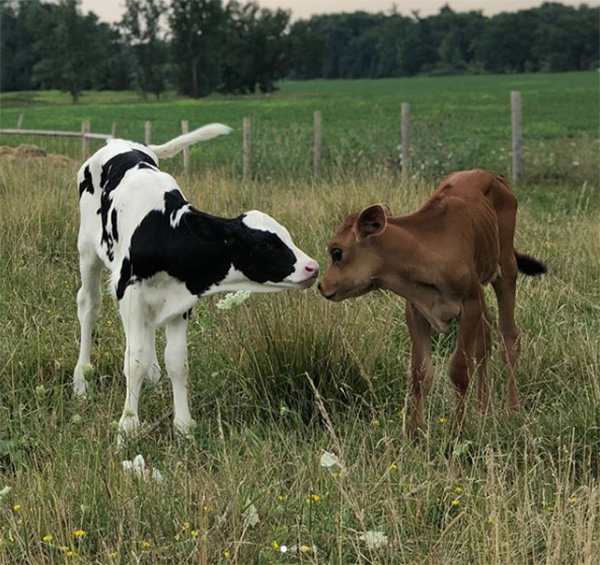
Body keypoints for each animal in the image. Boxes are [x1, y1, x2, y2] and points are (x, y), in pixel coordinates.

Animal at [74, 125, 318, 438]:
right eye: (264, 244)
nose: (312, 267)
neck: (167, 233)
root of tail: (120, 143)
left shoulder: (182, 300)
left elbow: (177, 362)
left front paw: (183, 427)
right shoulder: (130, 290)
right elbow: (134, 360)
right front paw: (127, 427)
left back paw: (153, 374)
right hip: (87, 249)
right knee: (89, 306)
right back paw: (82, 381)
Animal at [322, 169, 548, 432]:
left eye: (336, 251)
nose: (321, 285)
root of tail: (494, 176)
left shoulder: (469, 304)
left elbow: (459, 369)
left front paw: (458, 430)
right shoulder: (416, 310)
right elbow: (420, 373)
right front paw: (415, 433)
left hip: (506, 269)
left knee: (509, 339)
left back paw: (512, 411)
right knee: (485, 339)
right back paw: (482, 408)